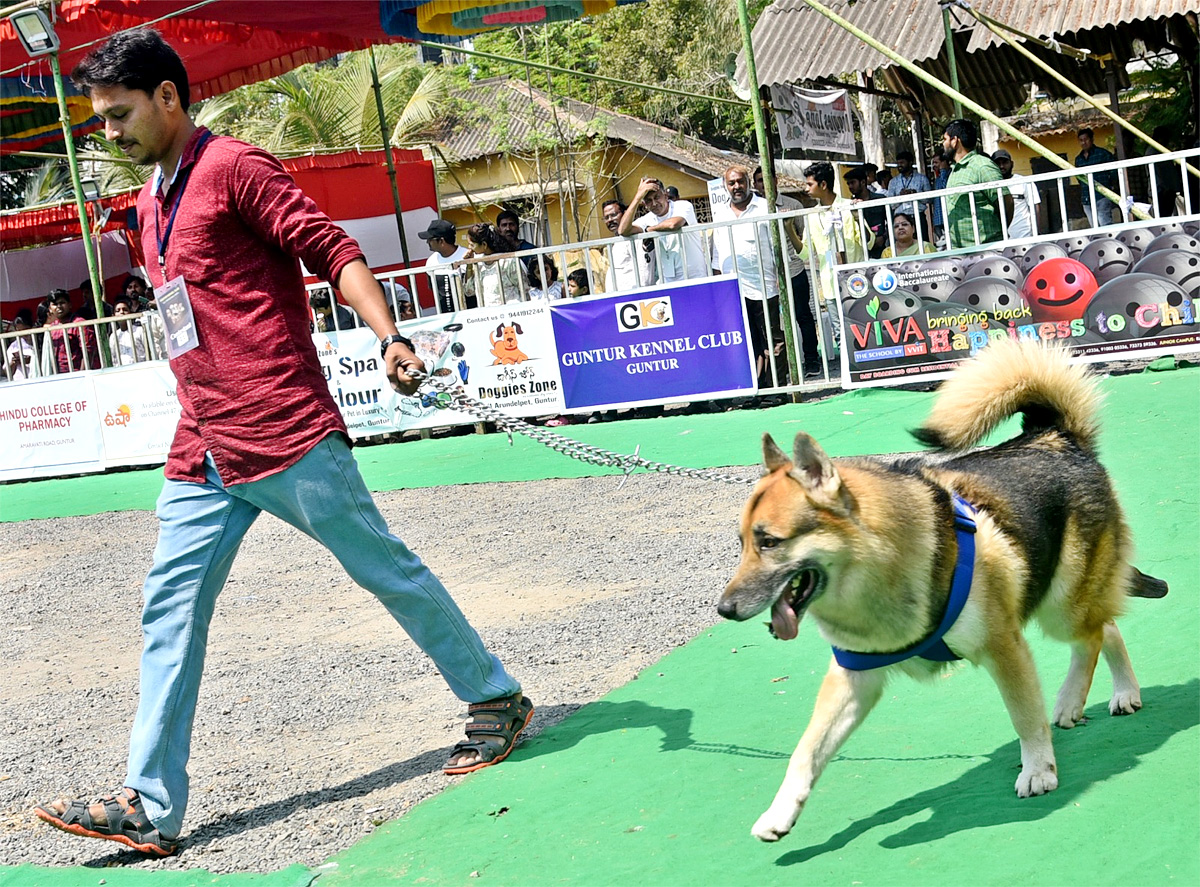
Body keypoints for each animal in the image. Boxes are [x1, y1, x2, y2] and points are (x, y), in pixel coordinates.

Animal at [715, 340, 1166, 844]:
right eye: (742, 543)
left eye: (770, 542)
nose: (724, 609)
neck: (881, 567)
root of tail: (1055, 436)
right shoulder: (852, 680)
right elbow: (807, 750)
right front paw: (780, 813)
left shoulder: (1003, 647)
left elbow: (1024, 716)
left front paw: (1038, 771)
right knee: (1107, 625)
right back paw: (1121, 693)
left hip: (1061, 604)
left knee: (1092, 635)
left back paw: (1075, 699)